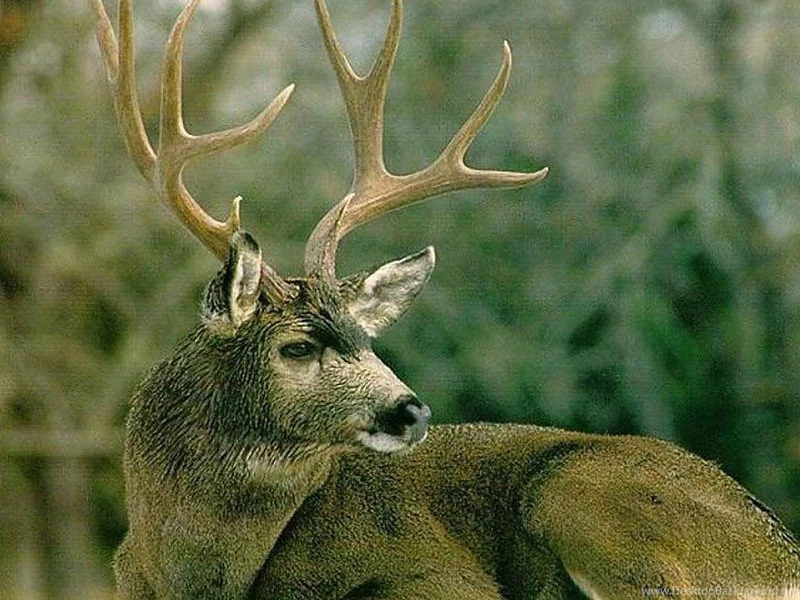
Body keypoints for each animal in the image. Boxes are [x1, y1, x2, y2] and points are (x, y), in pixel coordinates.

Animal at [89, 0, 800, 598]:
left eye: (366, 339)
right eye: (297, 346)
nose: (411, 410)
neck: (189, 572)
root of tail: (781, 557)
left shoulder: (438, 574)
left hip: (578, 493)